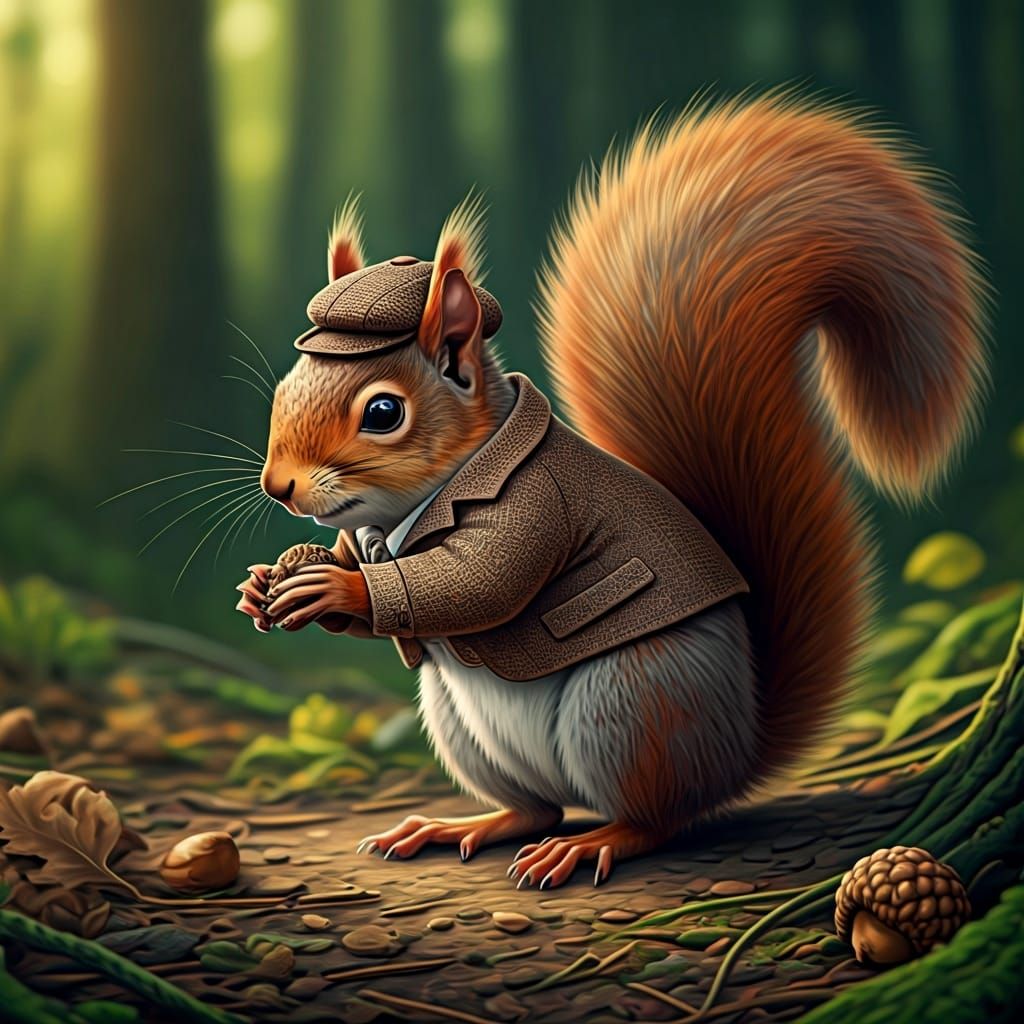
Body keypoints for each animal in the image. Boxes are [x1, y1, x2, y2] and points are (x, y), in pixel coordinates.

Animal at [236, 95, 987, 889]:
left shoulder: (539, 503)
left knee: (659, 817)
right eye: (286, 385)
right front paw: (268, 586)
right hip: (464, 725)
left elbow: (483, 582)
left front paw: (338, 590)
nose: (278, 485)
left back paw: (594, 842)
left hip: (634, 706)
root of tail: (740, 745)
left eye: (383, 413)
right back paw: (461, 824)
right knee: (536, 807)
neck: (416, 510)